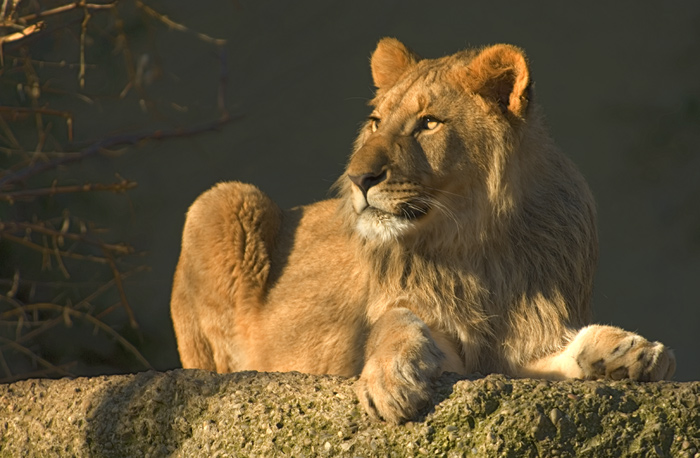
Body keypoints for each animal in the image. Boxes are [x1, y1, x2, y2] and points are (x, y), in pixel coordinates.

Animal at [168, 37, 672, 424]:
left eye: (429, 123)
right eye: (375, 122)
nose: (357, 178)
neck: (475, 242)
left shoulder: (517, 346)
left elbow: (562, 353)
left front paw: (625, 351)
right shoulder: (432, 326)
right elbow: (398, 320)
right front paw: (391, 379)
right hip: (222, 200)